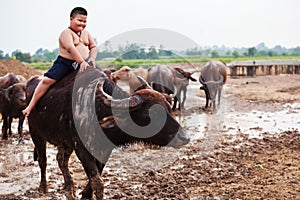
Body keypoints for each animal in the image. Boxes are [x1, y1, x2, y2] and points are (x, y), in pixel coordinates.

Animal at [26, 68, 190, 198]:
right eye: (153, 114)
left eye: (168, 109)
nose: (184, 137)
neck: (97, 110)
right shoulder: (81, 149)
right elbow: (97, 181)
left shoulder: (104, 149)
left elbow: (97, 174)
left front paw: (85, 194)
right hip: (36, 134)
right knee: (43, 160)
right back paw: (43, 187)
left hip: (64, 143)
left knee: (61, 159)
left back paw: (69, 186)